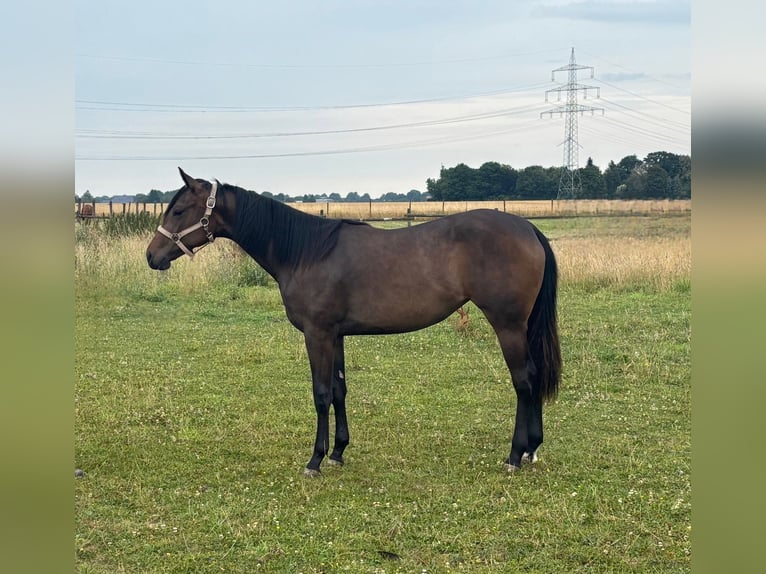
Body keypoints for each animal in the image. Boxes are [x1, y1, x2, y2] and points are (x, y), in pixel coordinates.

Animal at [146, 169, 562, 477]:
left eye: (179, 211)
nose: (152, 256)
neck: (307, 252)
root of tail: (528, 228)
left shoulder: (317, 334)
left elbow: (320, 393)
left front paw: (315, 460)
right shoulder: (336, 335)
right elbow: (339, 390)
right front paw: (338, 453)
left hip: (507, 324)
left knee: (524, 380)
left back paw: (515, 456)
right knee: (535, 375)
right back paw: (532, 450)